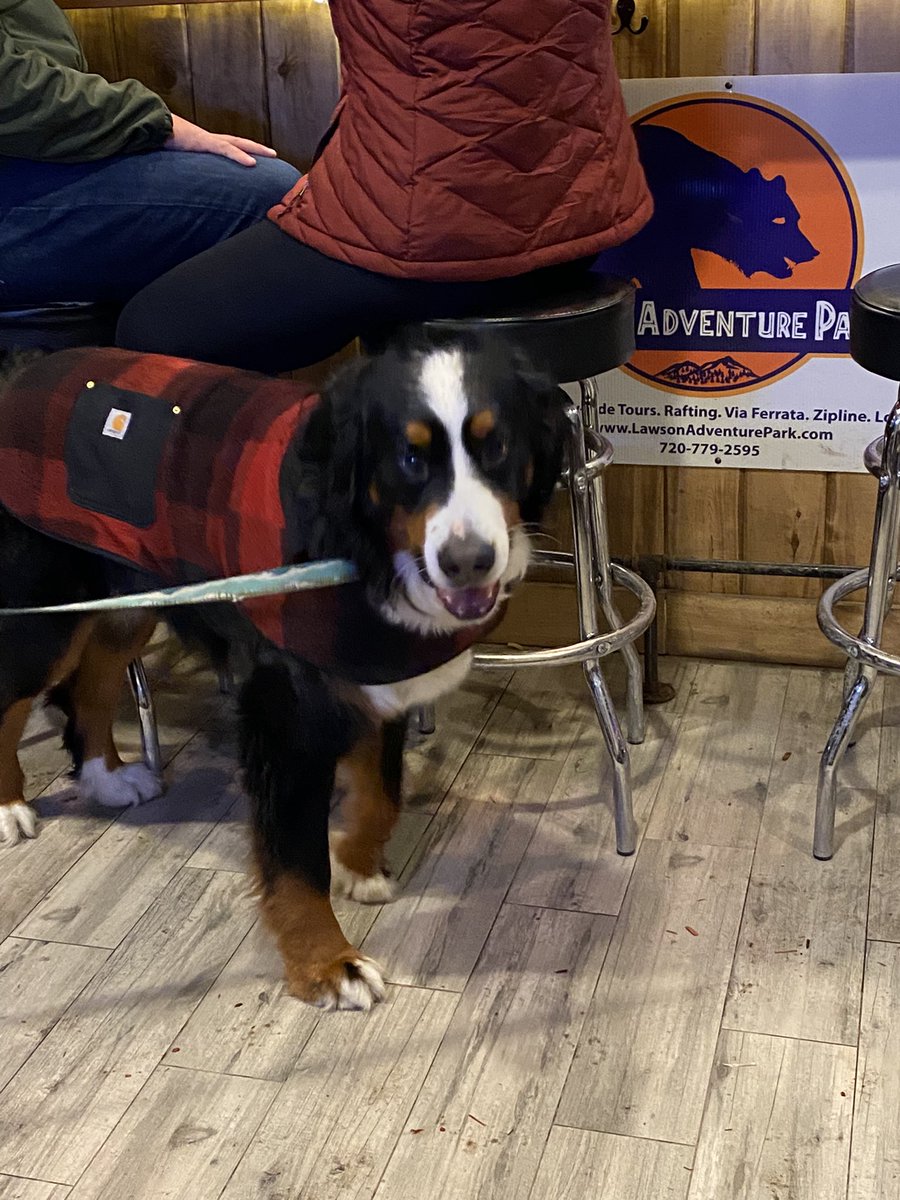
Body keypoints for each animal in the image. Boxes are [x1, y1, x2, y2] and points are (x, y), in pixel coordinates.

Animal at [0, 331, 566, 1012]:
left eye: (498, 446)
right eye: (409, 458)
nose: (468, 561)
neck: (365, 548)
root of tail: (22, 369)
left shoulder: (374, 671)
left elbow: (384, 792)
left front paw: (357, 864)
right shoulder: (285, 708)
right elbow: (297, 861)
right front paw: (328, 963)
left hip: (128, 598)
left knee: (91, 683)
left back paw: (107, 779)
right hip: (43, 615)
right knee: (12, 696)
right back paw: (9, 807)